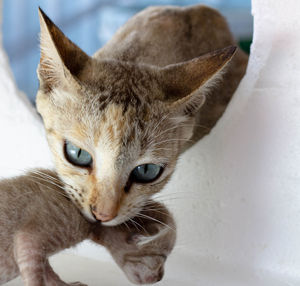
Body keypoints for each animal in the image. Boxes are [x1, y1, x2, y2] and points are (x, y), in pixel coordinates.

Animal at [0, 170, 176, 286]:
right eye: (163, 257)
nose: (160, 277)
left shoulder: (38, 251)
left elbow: (48, 271)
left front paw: (63, 284)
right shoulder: (30, 239)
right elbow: (35, 275)